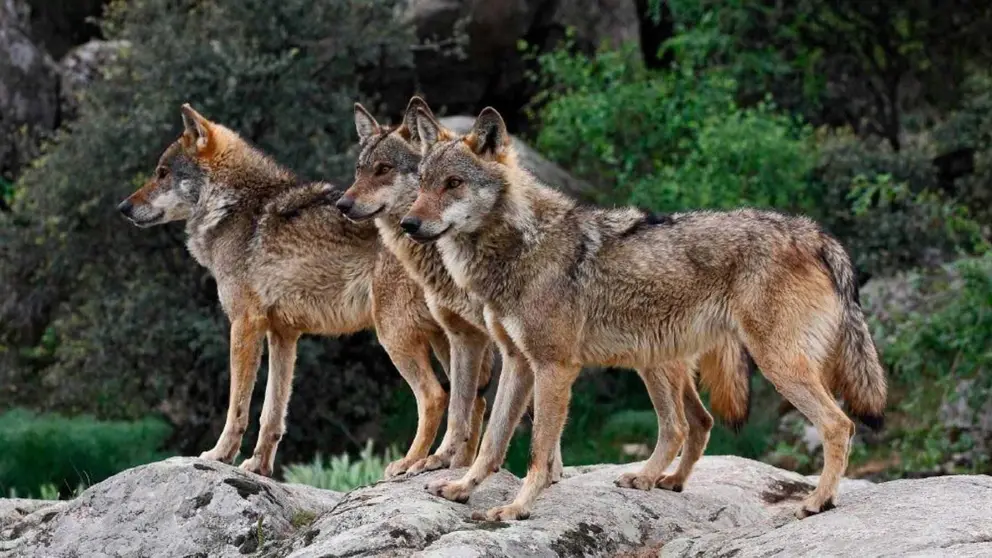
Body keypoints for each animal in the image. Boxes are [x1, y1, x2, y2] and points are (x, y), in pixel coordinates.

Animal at [117, 104, 464, 478]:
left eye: (162, 173)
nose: (123, 207)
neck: (234, 207)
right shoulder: (283, 334)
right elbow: (273, 413)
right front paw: (258, 466)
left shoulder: (244, 325)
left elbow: (237, 407)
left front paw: (219, 455)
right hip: (443, 340)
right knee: (472, 399)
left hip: (393, 336)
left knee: (435, 396)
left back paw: (410, 463)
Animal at [337, 96, 755, 481]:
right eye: (359, 171)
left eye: (383, 170)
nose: (342, 203)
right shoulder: (465, 338)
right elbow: (463, 408)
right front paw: (445, 463)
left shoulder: (521, 346)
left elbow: (520, 414)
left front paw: (545, 473)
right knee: (701, 419)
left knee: (685, 420)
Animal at [403, 106, 887, 521]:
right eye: (423, 183)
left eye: (453, 184)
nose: (408, 224)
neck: (521, 245)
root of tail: (814, 232)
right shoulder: (518, 362)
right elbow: (492, 440)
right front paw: (461, 488)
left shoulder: (554, 367)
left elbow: (539, 450)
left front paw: (517, 508)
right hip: (655, 358)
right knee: (685, 426)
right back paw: (658, 479)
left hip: (772, 365)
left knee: (838, 425)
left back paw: (818, 501)